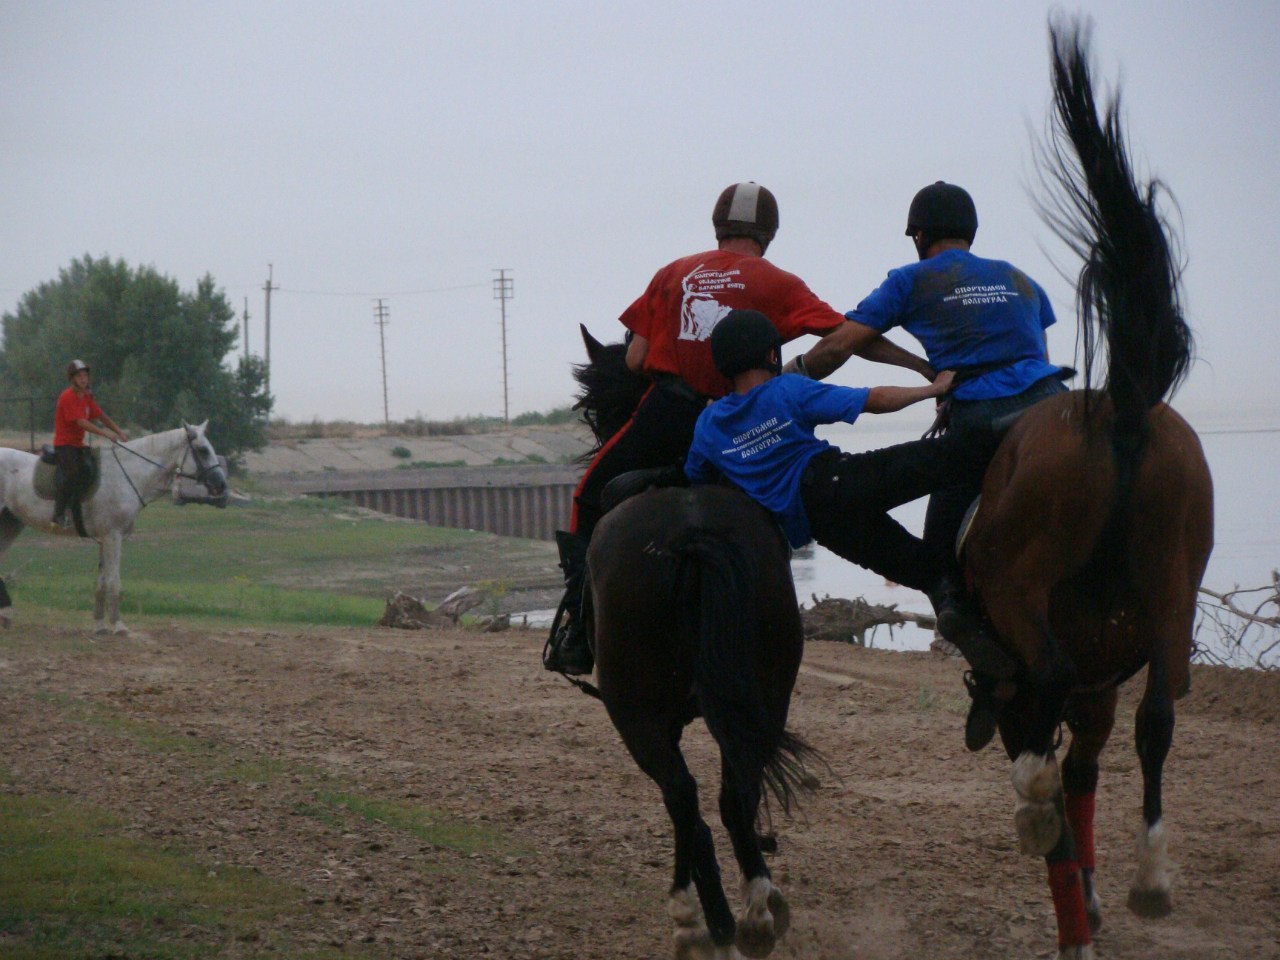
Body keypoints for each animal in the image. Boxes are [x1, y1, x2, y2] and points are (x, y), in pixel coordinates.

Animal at [0, 422, 227, 634]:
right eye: (203, 450)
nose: (221, 485)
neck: (127, 475)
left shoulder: (104, 539)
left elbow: (101, 581)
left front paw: (100, 625)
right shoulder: (113, 536)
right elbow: (113, 581)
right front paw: (118, 626)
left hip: (11, 523)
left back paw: (6, 614)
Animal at [573, 330, 814, 960]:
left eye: (595, 411)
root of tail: (691, 533)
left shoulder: (653, 720)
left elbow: (683, 810)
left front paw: (695, 916)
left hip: (635, 713)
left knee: (685, 798)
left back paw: (710, 920)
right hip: (766, 694)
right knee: (735, 793)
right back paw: (757, 913)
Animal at [962, 20, 1213, 957]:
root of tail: (1125, 406)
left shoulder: (1036, 682)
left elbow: (1059, 798)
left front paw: (1072, 892)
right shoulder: (1100, 688)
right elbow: (1087, 773)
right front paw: (1096, 903)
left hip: (1023, 593)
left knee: (1055, 690)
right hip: (1174, 593)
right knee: (1161, 716)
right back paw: (1151, 877)